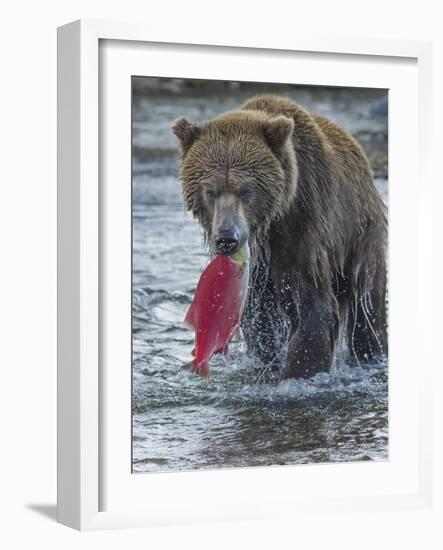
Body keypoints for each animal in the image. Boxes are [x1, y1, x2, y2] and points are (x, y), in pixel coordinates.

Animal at [173, 95, 388, 380]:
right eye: (210, 191)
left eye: (246, 191)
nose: (227, 238)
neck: (270, 225)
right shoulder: (258, 266)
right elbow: (258, 315)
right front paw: (268, 361)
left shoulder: (304, 226)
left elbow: (313, 304)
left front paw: (298, 372)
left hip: (360, 235)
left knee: (367, 309)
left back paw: (371, 353)